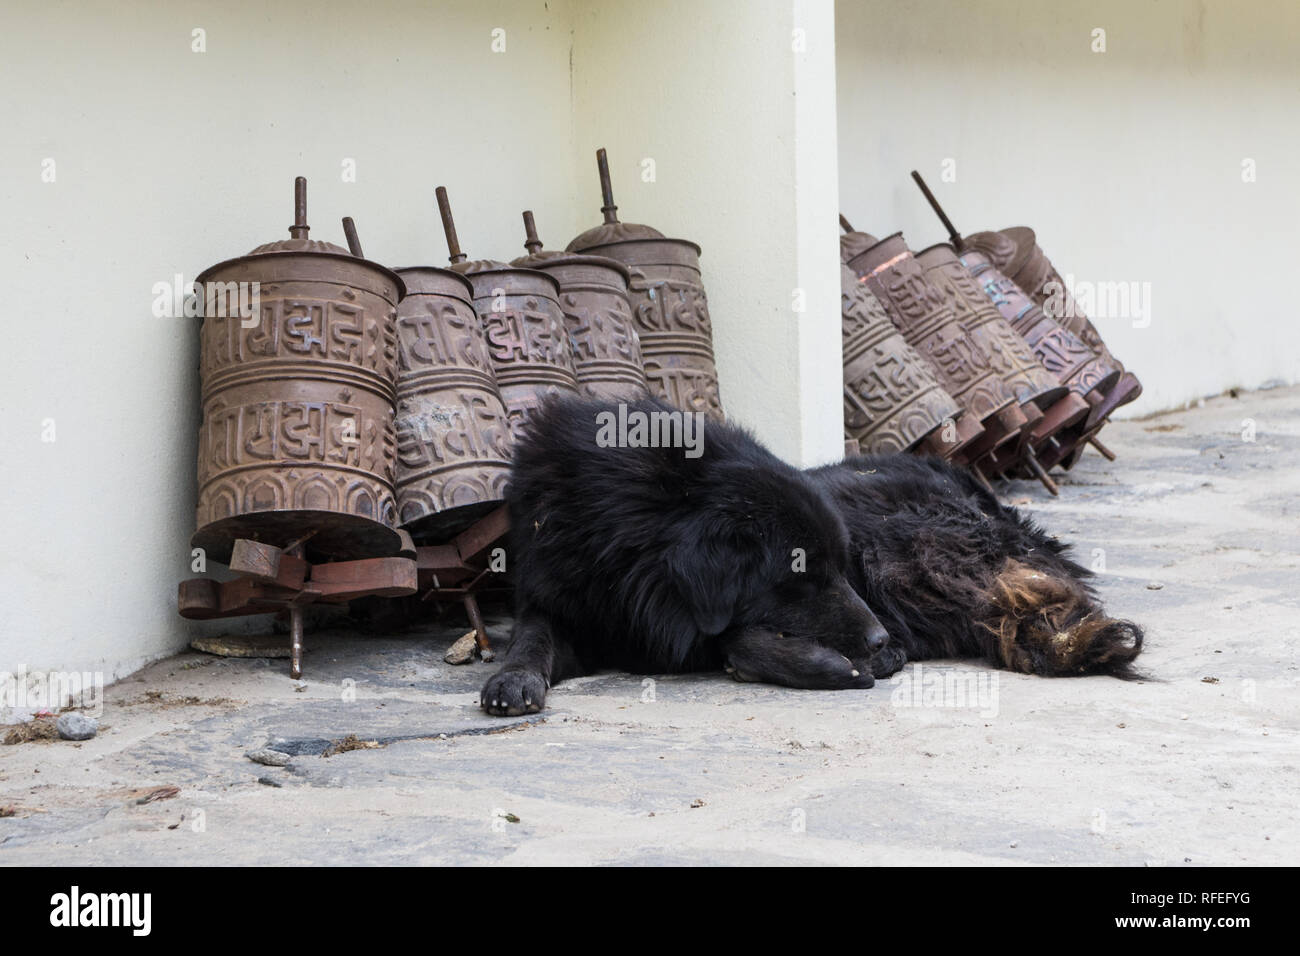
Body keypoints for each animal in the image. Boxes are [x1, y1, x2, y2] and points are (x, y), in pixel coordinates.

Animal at [480, 392, 894, 712]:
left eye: (839, 569)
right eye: (804, 578)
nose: (881, 639)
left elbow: (732, 639)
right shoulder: (554, 597)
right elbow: (532, 636)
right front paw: (513, 678)